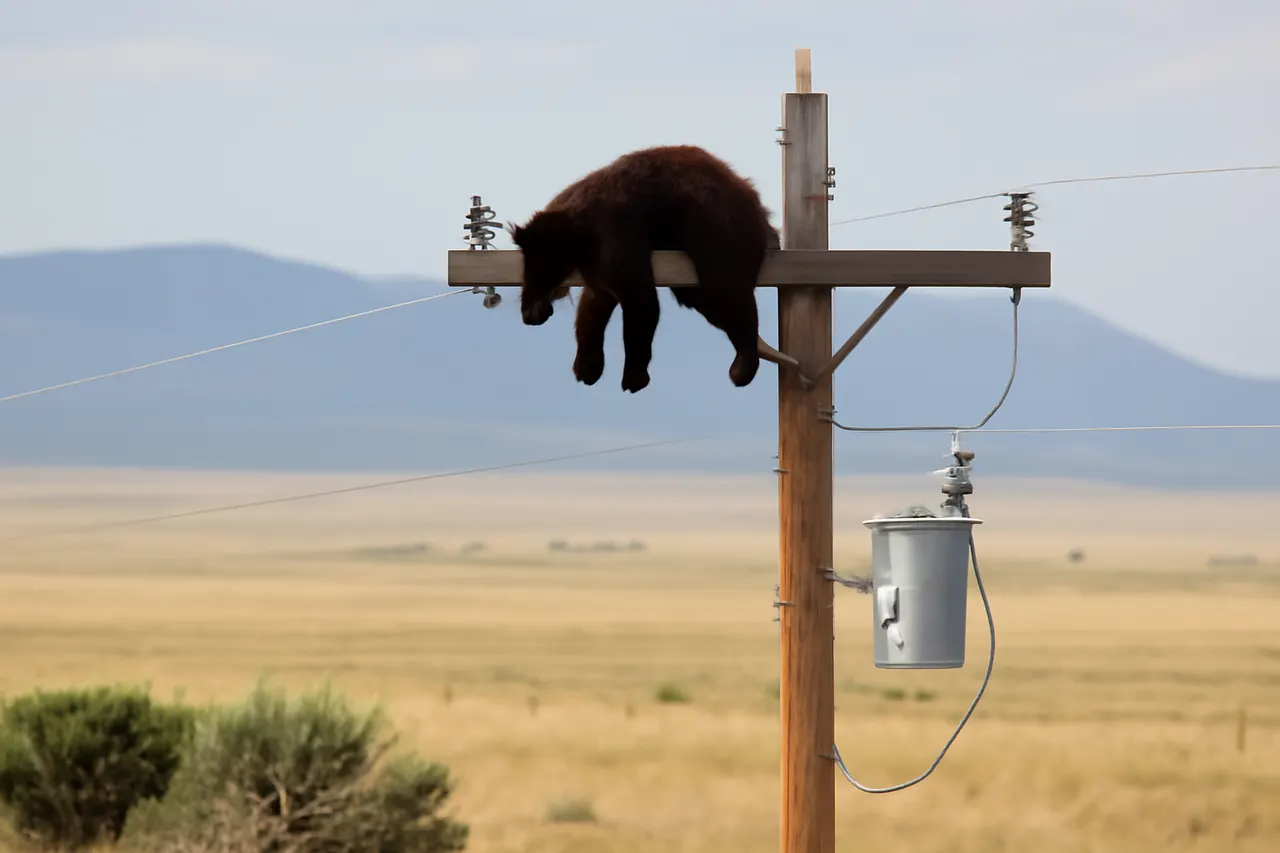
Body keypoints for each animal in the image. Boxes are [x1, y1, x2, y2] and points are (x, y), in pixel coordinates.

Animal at [509, 144, 783, 394]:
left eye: (540, 261)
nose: (531, 311)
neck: (581, 231)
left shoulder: (614, 239)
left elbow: (641, 302)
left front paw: (634, 375)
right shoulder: (597, 268)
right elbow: (596, 305)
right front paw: (588, 366)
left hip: (718, 231)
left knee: (725, 290)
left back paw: (745, 362)